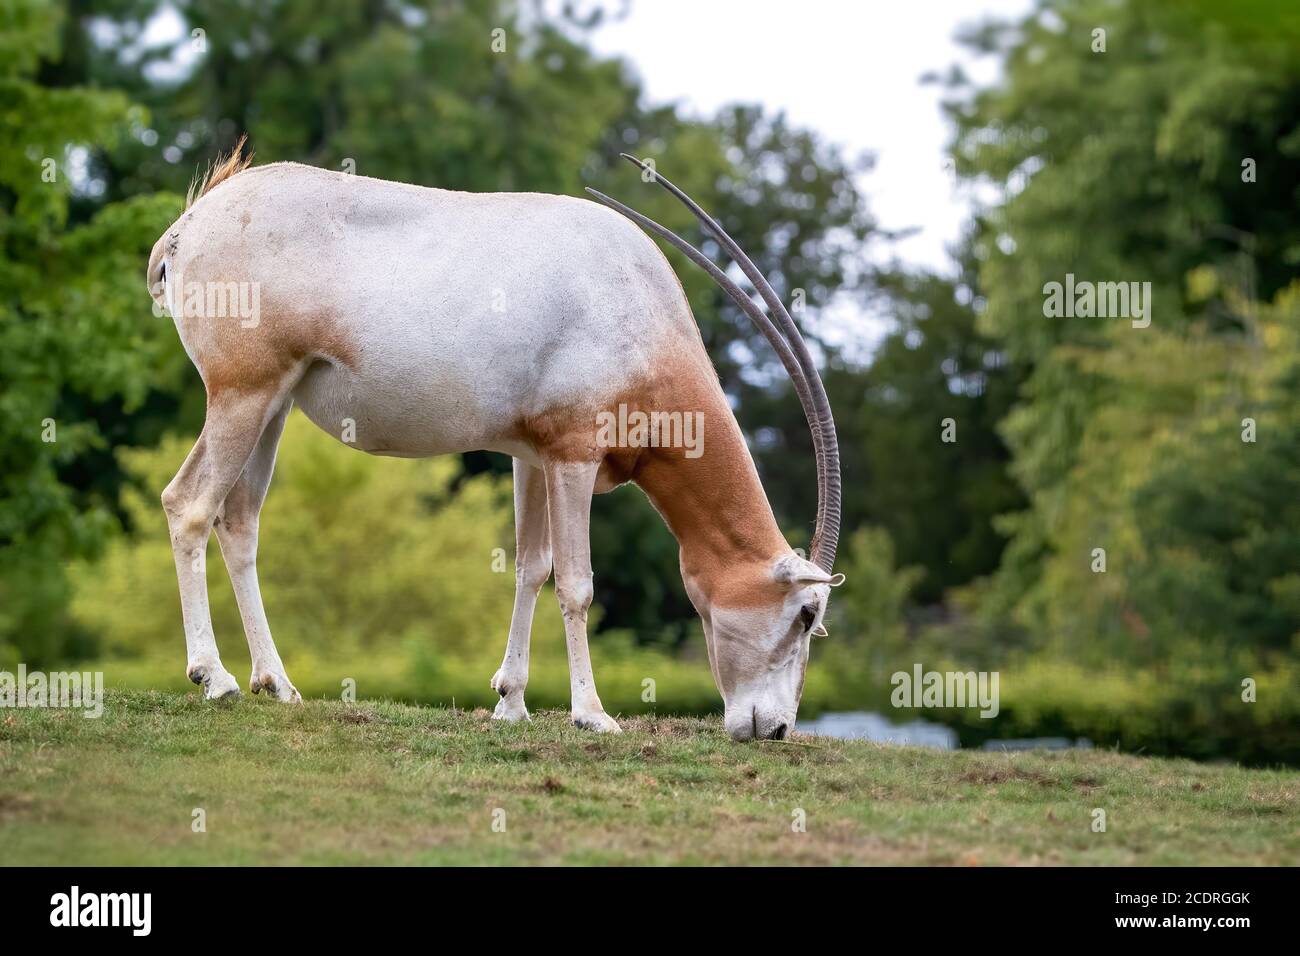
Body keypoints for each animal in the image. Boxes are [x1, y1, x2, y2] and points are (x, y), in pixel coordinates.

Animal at [147, 143, 847, 738]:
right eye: (806, 615)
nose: (776, 729)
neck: (639, 308)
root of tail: (187, 228)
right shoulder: (574, 453)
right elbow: (576, 582)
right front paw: (592, 714)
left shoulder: (531, 457)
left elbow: (531, 567)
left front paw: (510, 702)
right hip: (243, 393)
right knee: (190, 503)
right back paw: (215, 678)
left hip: (273, 403)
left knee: (239, 520)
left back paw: (279, 684)